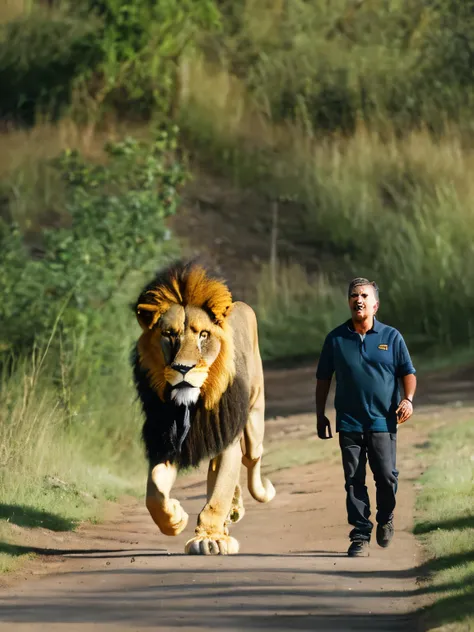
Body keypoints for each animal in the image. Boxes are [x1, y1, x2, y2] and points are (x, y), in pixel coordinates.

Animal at [131, 260, 276, 556]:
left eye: (204, 335)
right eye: (169, 335)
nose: (182, 368)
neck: (192, 404)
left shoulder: (226, 434)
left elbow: (218, 492)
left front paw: (209, 539)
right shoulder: (167, 438)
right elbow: (154, 491)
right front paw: (174, 518)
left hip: (254, 420)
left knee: (252, 458)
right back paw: (233, 509)